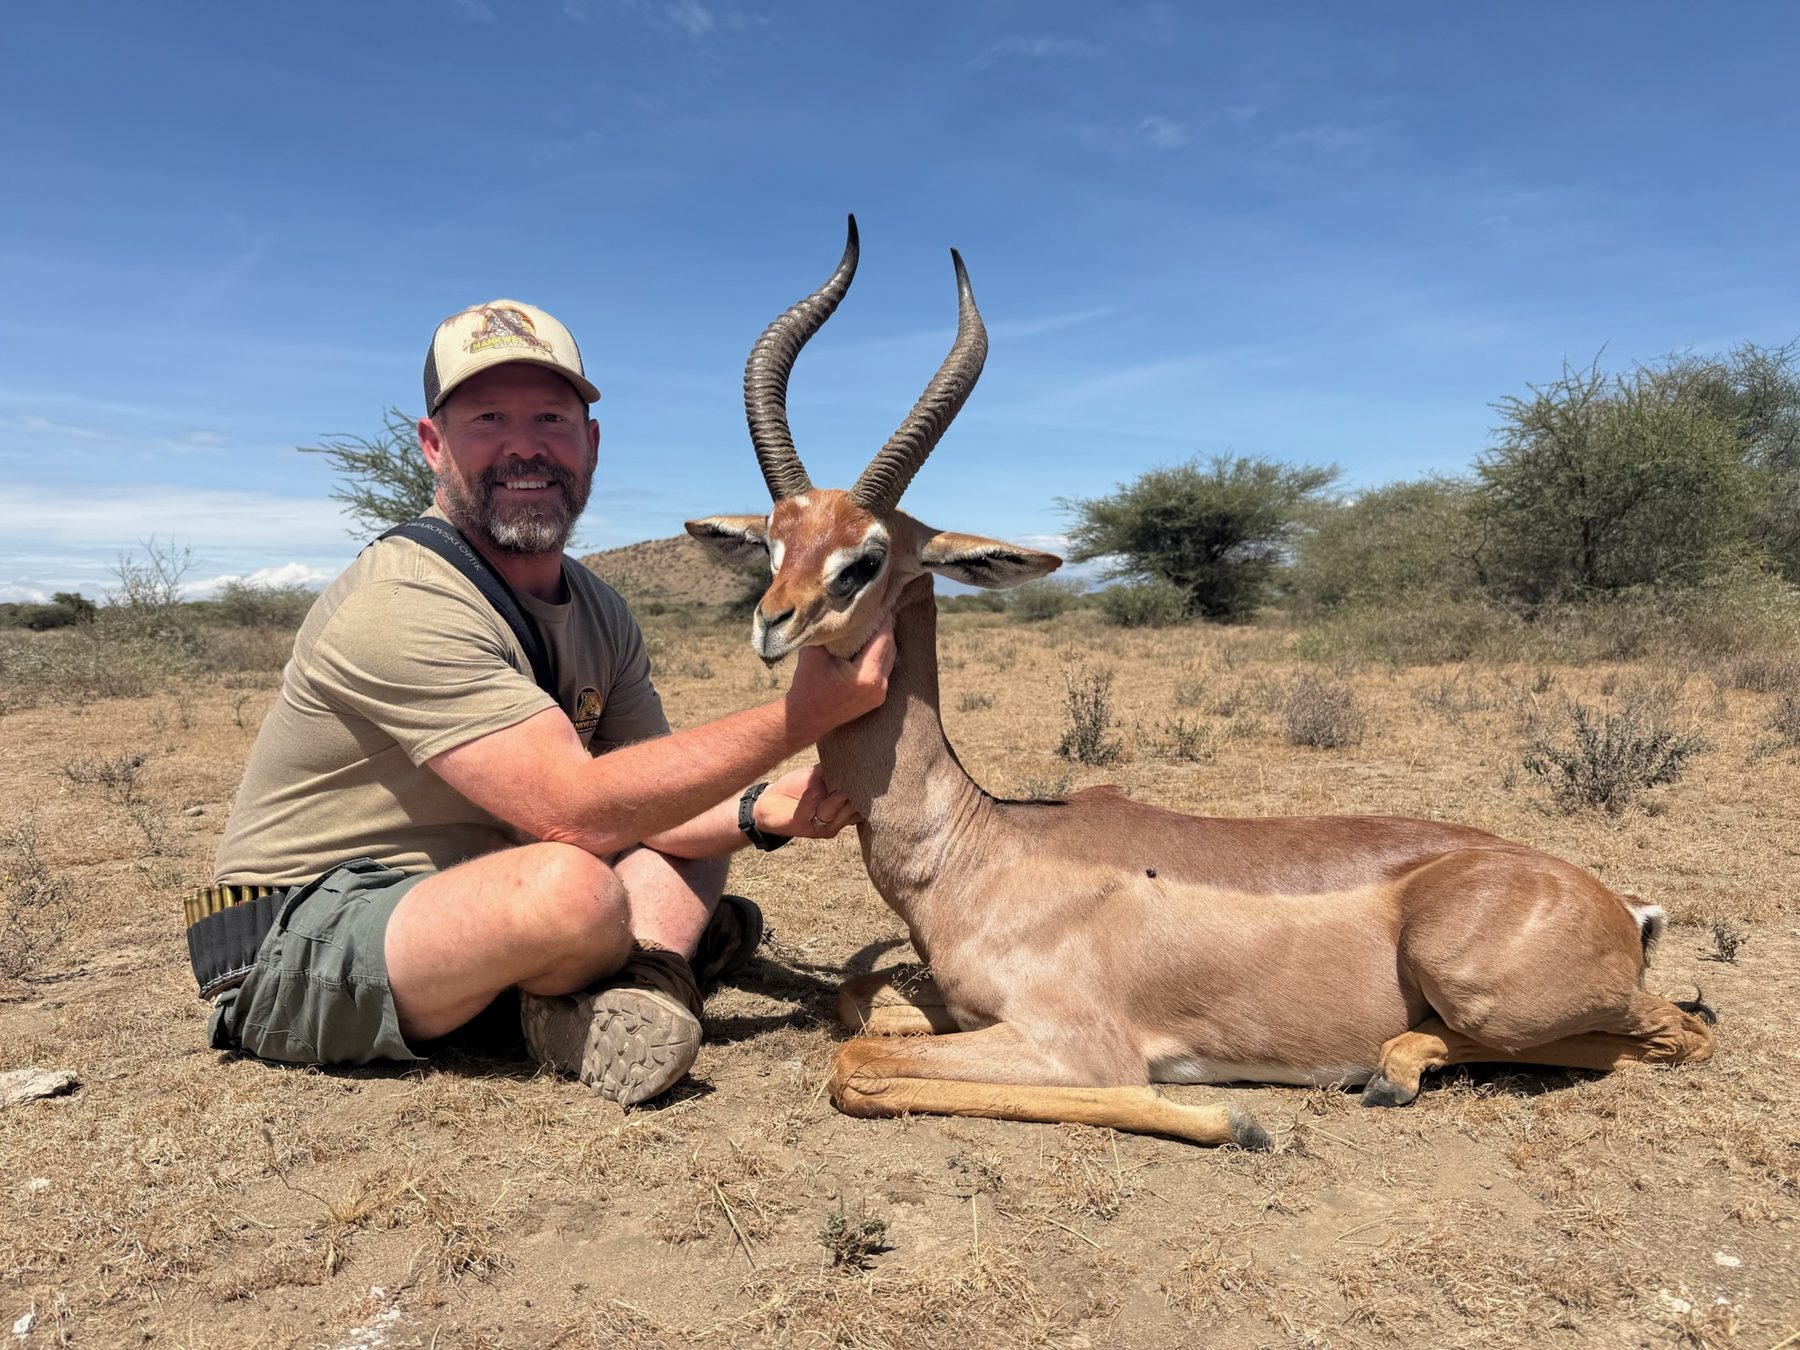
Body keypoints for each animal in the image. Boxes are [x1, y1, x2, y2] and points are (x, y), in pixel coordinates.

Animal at [687, 218, 1717, 1147]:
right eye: (774, 541)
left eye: (865, 558)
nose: (773, 624)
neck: (982, 847)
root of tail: (1620, 906)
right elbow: (858, 1004)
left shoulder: (1075, 1044)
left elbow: (860, 1062)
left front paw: (1227, 1116)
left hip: (1490, 991)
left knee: (1683, 1032)